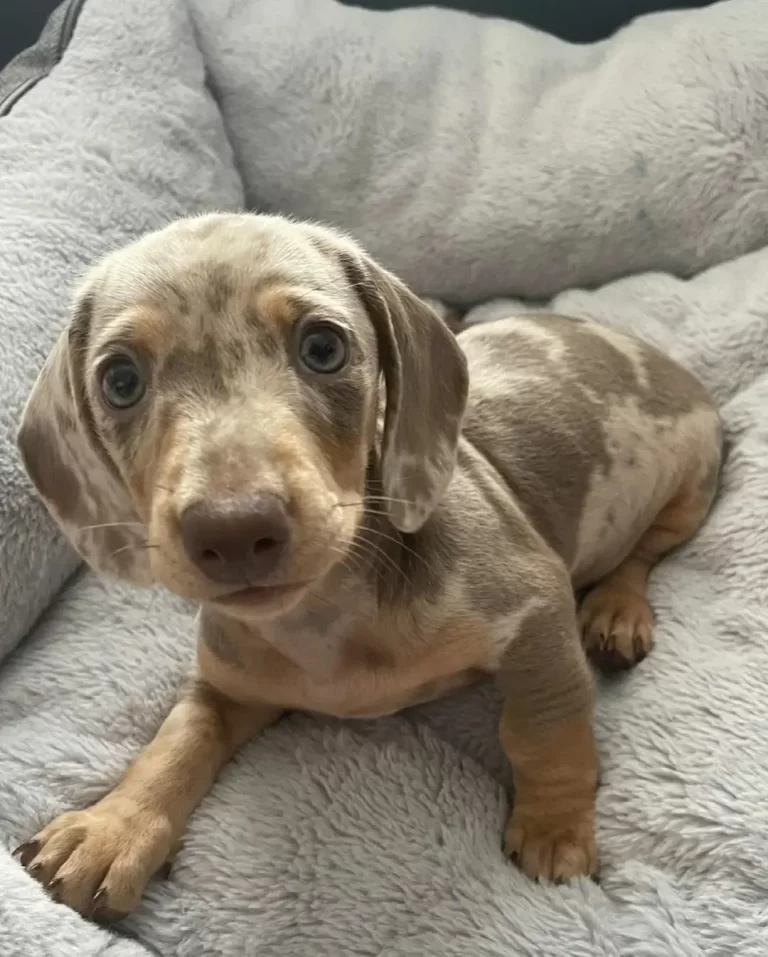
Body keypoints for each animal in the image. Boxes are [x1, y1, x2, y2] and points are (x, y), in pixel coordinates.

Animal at [13, 213, 720, 916]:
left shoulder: (535, 610)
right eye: (120, 380)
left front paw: (555, 829)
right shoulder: (225, 685)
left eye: (324, 347)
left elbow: (543, 729)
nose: (234, 531)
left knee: (644, 554)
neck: (327, 620)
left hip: (693, 482)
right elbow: (177, 739)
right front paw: (112, 829)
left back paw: (616, 612)